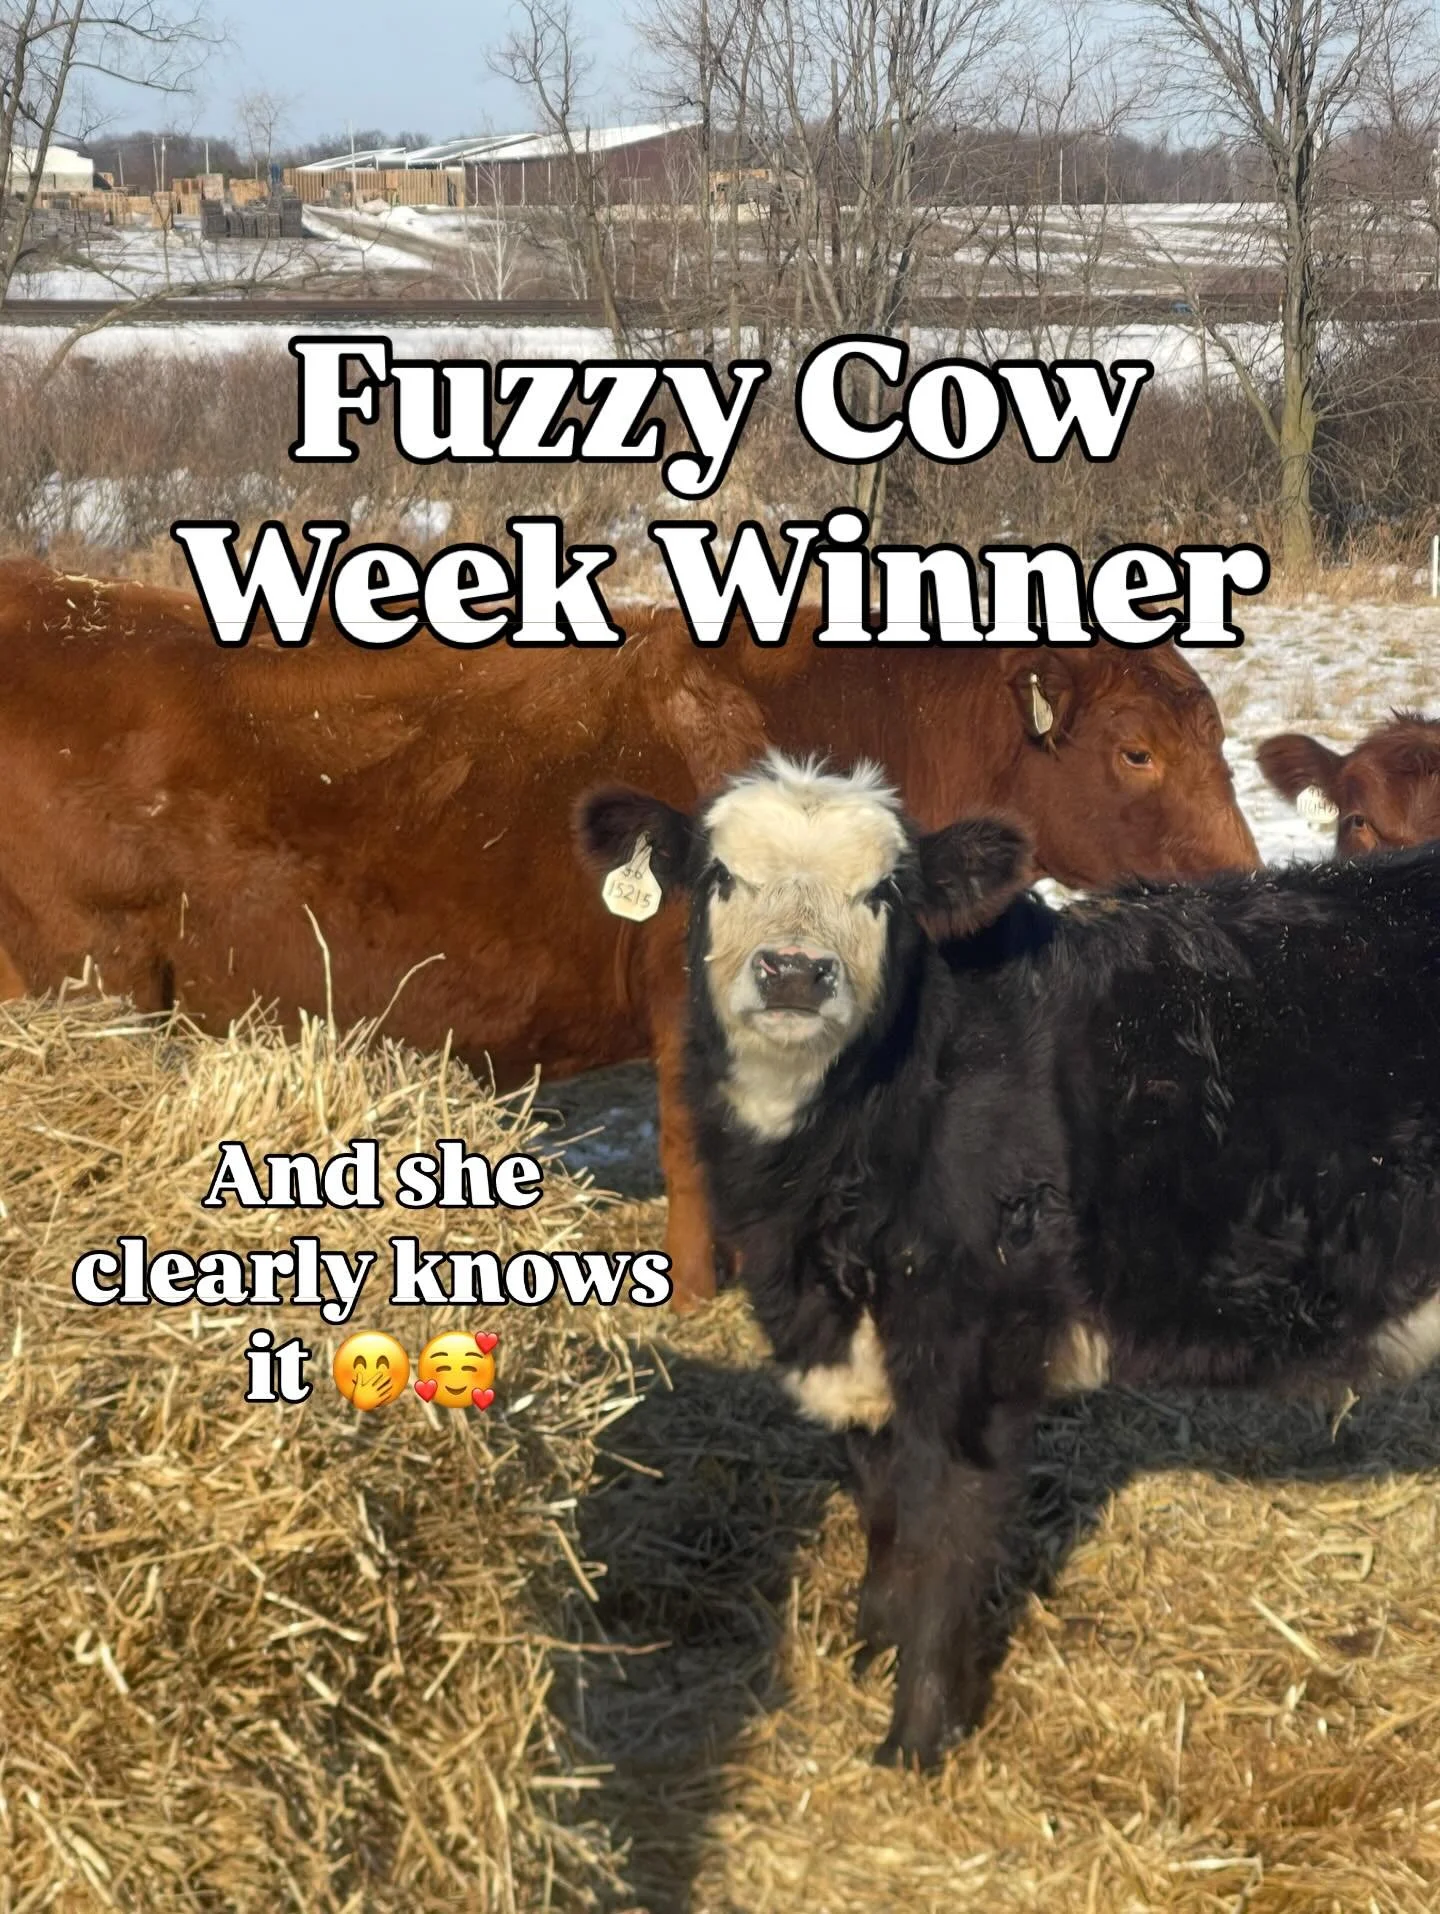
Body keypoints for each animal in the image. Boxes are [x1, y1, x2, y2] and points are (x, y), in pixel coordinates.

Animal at [578, 752, 1440, 1766]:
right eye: (719, 876)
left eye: (887, 893)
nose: (794, 971)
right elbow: (881, 1505)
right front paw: (873, 1643)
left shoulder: (974, 1348)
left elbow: (944, 1535)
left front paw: (915, 1739)